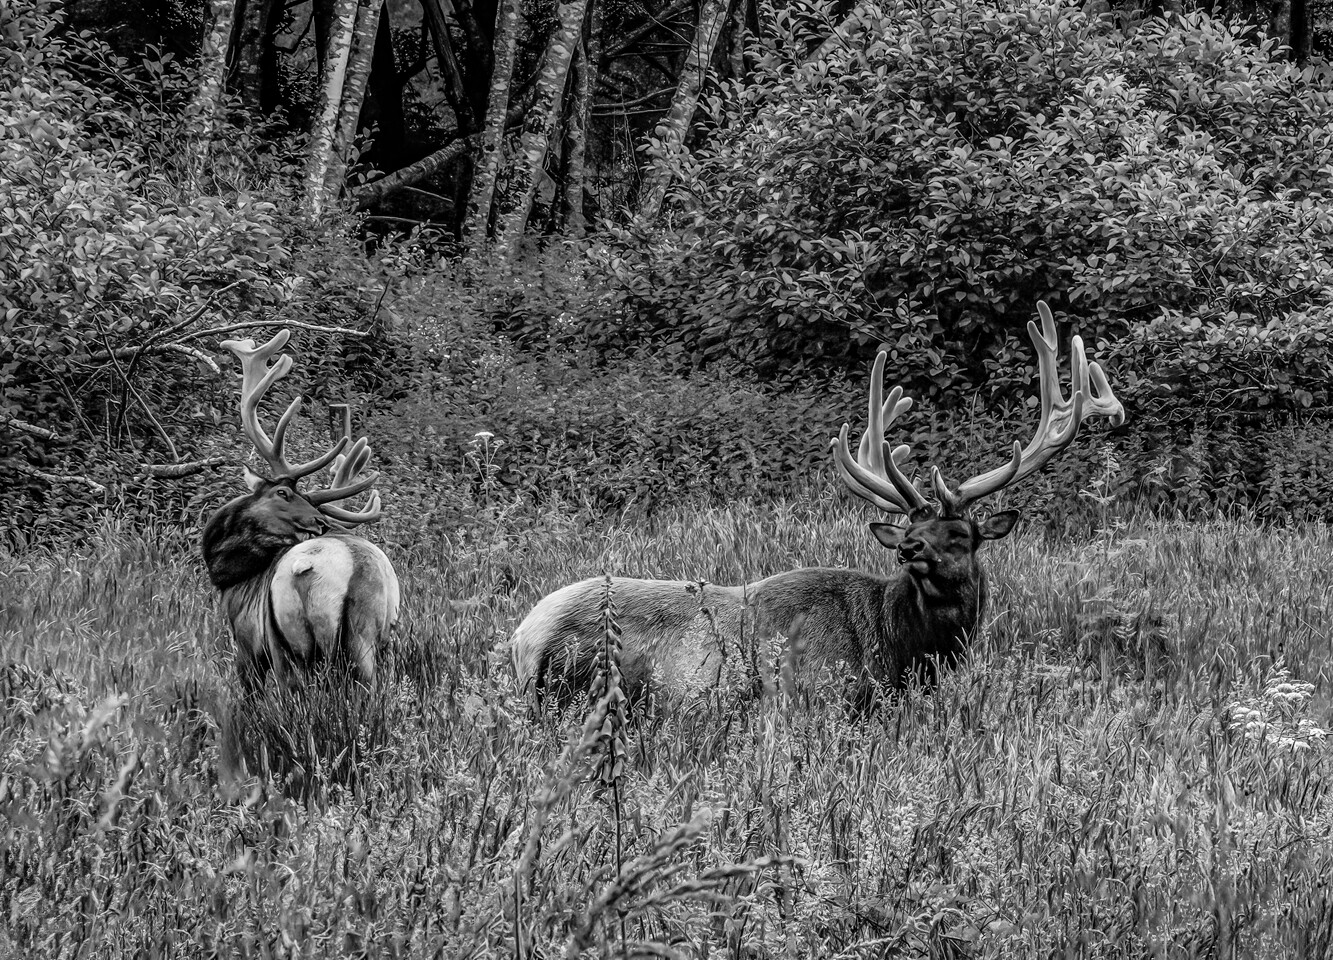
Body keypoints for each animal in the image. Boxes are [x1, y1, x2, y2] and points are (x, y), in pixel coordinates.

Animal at [201, 330, 399, 693]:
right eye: (283, 493)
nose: (321, 521)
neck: (227, 578)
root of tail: (356, 569)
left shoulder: (247, 642)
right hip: (380, 634)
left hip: (291, 640)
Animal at [510, 302, 1125, 706]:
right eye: (911, 529)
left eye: (961, 536)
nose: (908, 549)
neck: (899, 647)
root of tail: (520, 640)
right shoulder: (817, 693)